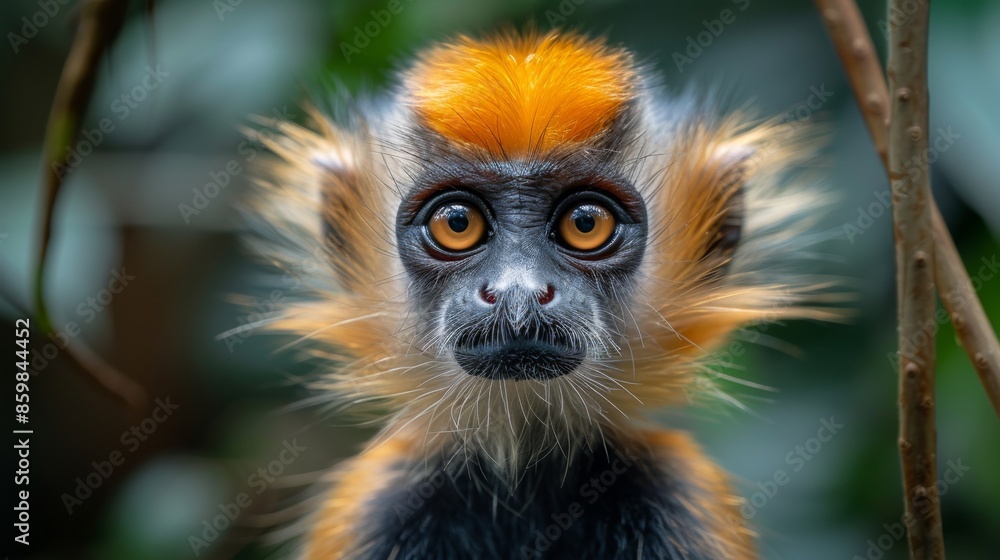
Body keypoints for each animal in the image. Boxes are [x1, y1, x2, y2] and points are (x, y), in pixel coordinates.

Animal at [248, 29, 834, 560]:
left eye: (585, 223)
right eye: (456, 223)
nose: (518, 291)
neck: (524, 469)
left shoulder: (684, 496)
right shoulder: (374, 504)